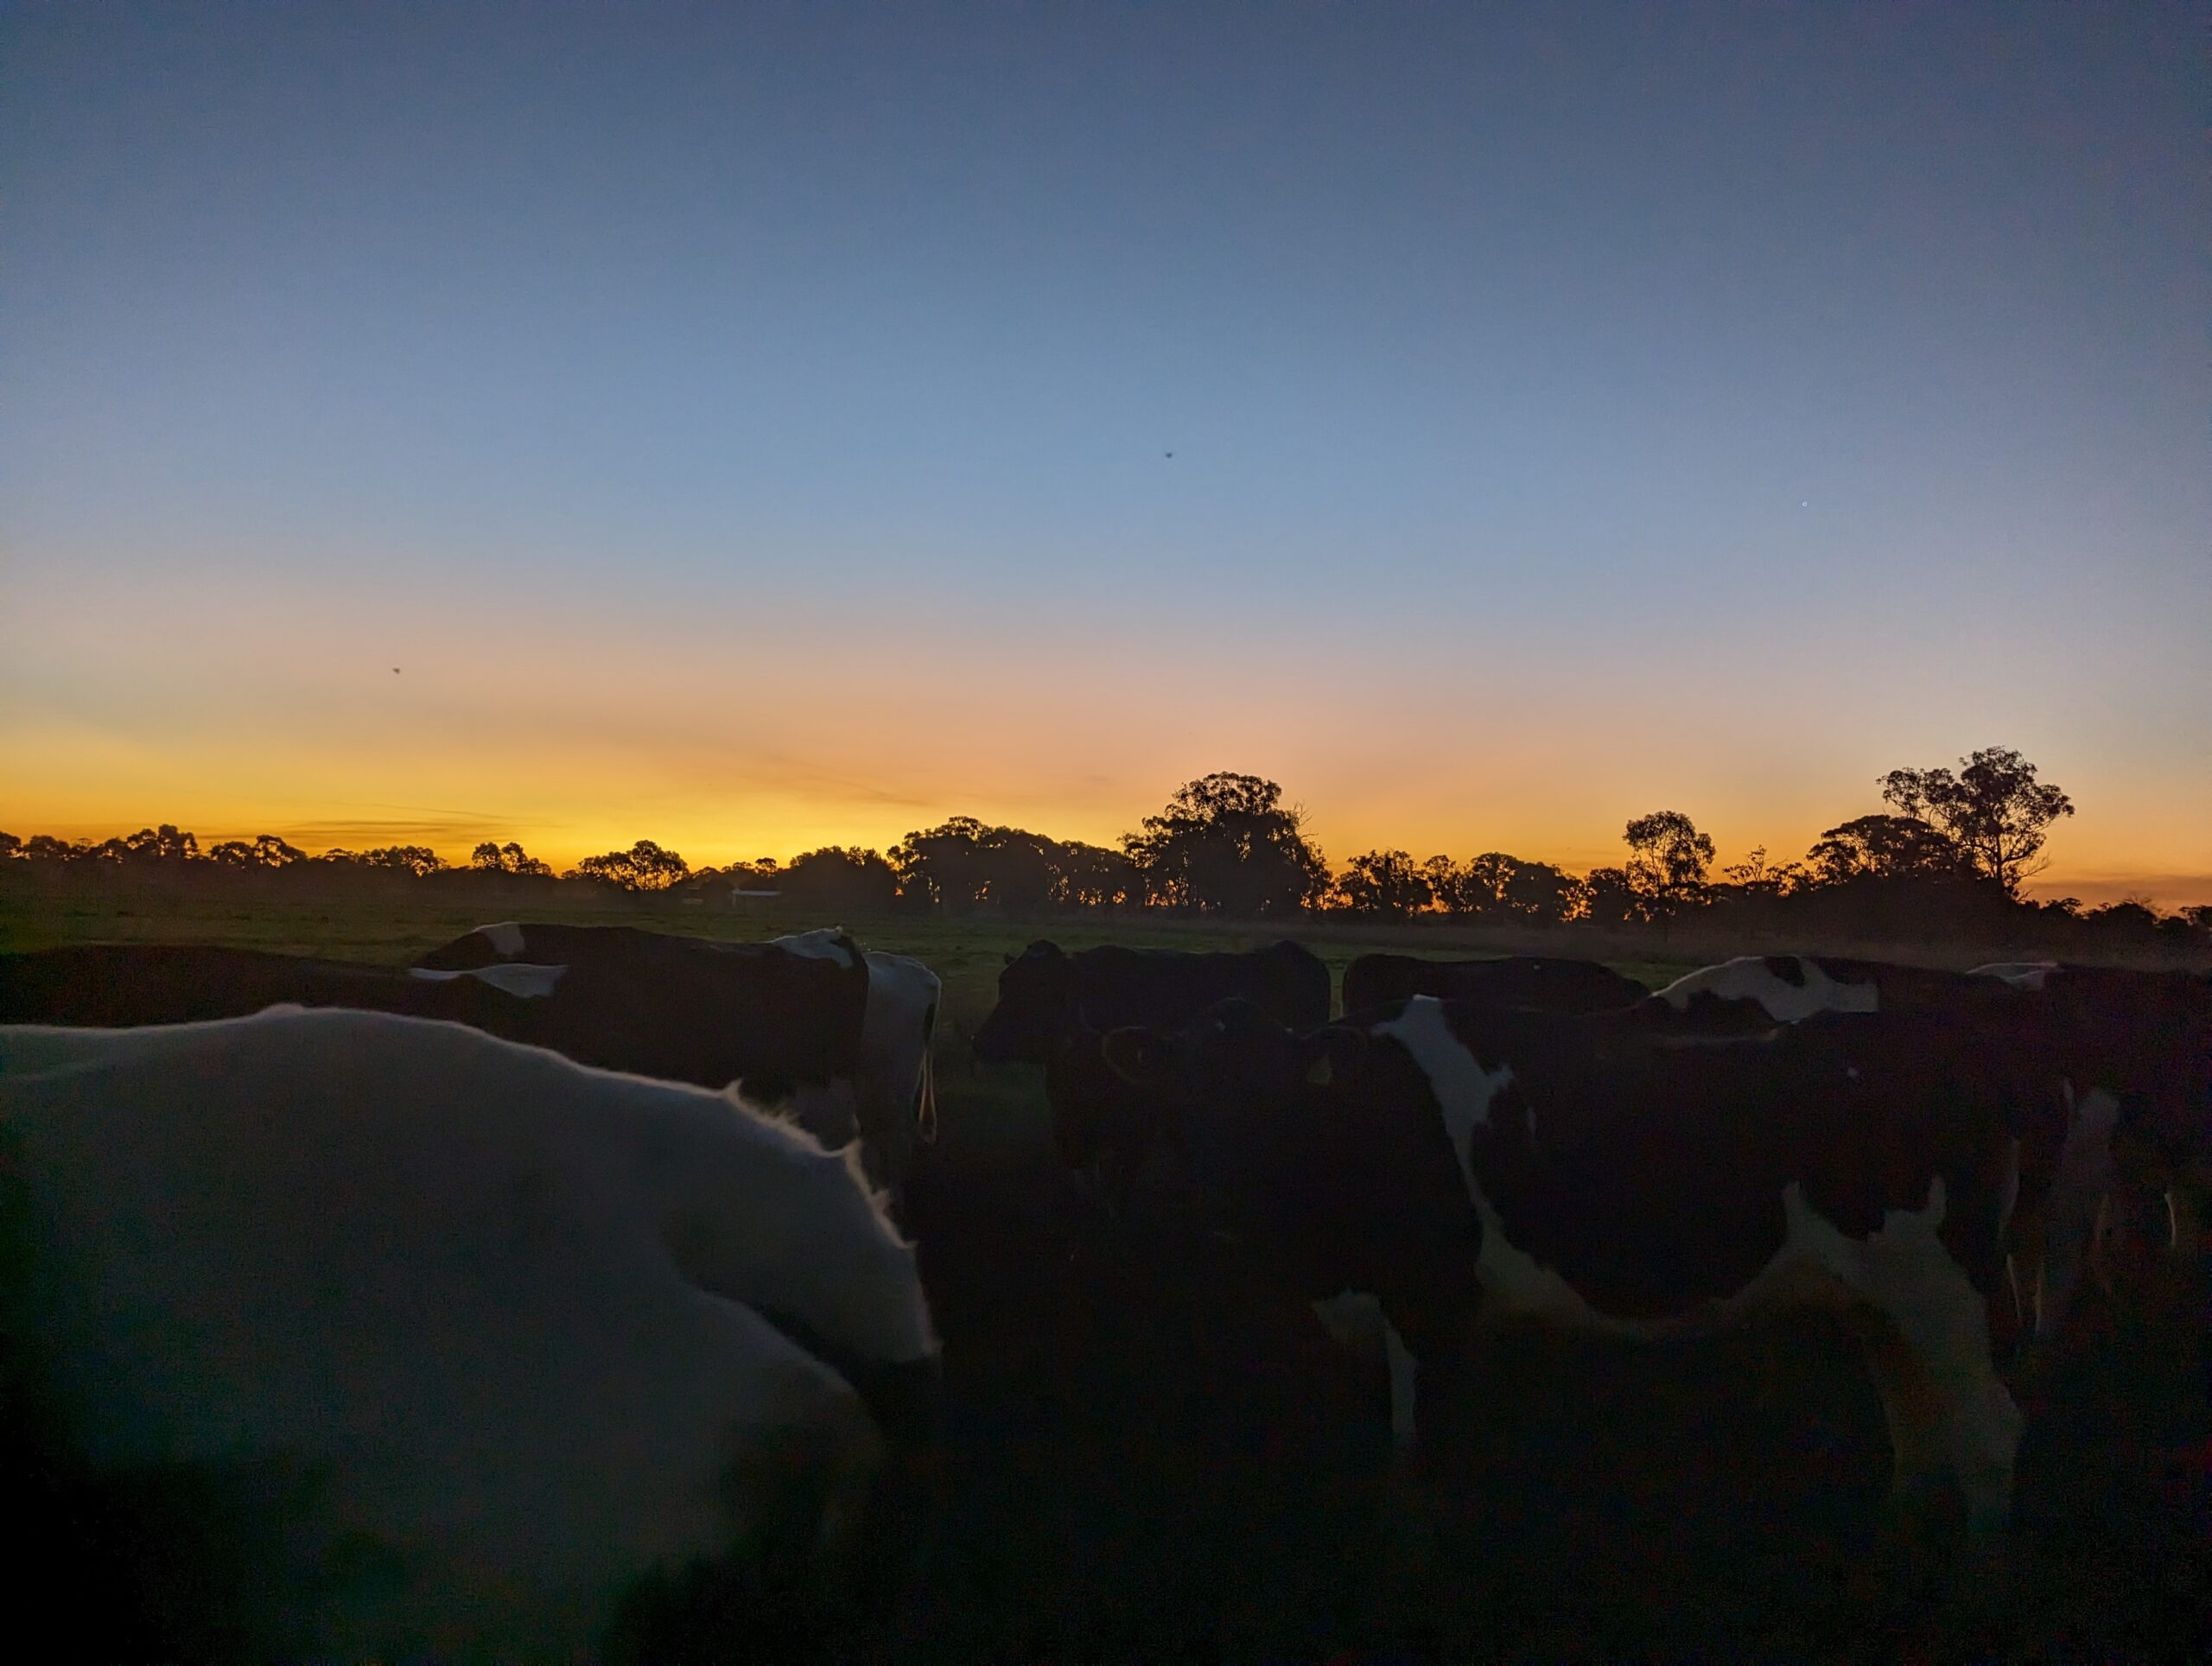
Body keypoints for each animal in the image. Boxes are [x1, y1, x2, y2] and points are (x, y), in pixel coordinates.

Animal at [1106, 986, 2052, 1548]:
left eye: (1269, 1092)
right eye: (1183, 1095)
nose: (1215, 1183)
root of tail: (1948, 1037)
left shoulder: (1427, 1299)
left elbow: (1414, 1455)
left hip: (1947, 1285)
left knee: (1990, 1427)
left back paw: (1979, 1583)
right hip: (1878, 1295)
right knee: (1915, 1412)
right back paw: (1894, 1532)